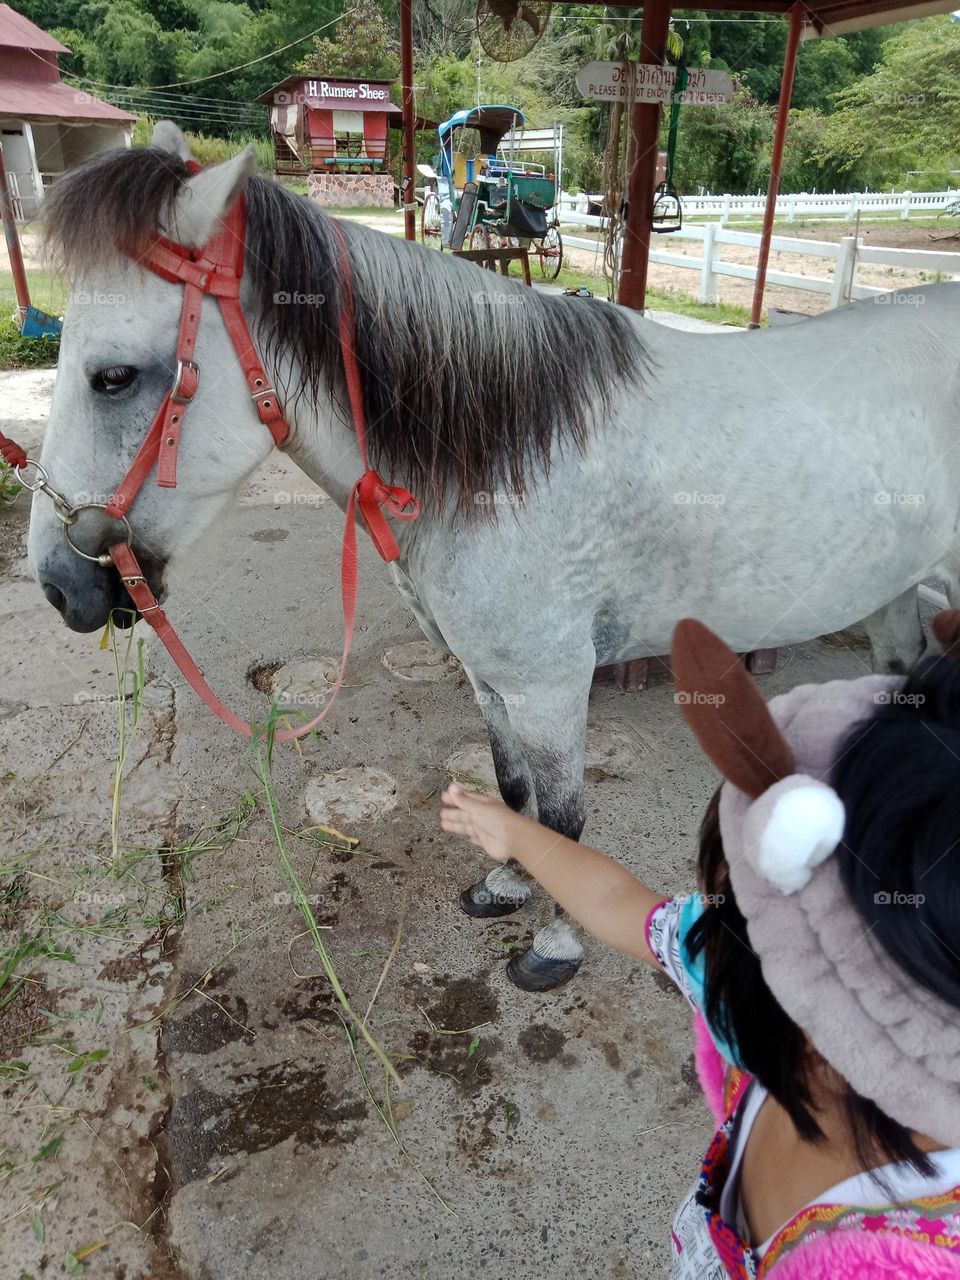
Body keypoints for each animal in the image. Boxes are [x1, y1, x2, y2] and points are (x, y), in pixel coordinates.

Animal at [27, 123, 960, 992]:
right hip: (894, 595)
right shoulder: (491, 680)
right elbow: (513, 796)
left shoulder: (551, 686)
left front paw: (554, 944)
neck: (504, 458)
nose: (61, 587)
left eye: (113, 377)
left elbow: (564, 820)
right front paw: (505, 887)